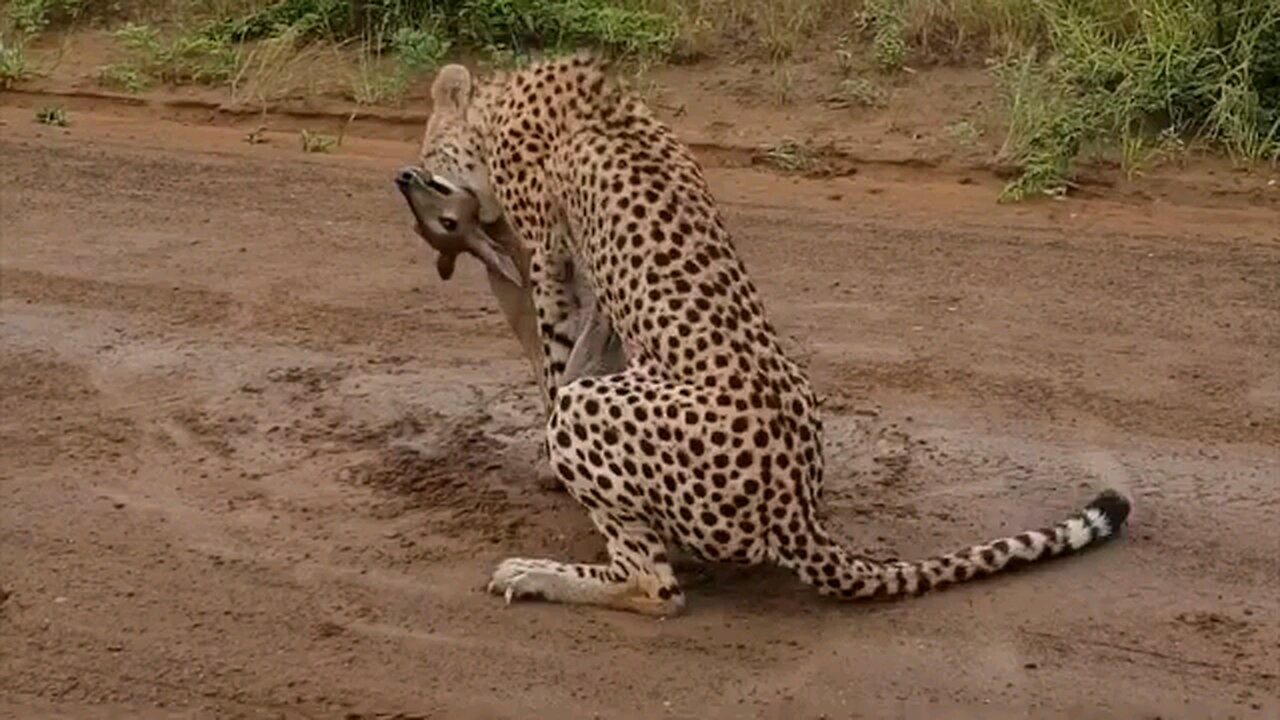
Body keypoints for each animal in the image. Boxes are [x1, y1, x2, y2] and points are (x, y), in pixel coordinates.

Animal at [417, 56, 1131, 614]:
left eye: (428, 161)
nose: (408, 176)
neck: (506, 99)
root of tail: (796, 509)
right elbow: (594, 341)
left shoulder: (549, 257)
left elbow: (557, 357)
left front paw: (545, 460)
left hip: (593, 415)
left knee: (658, 589)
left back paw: (536, 574)